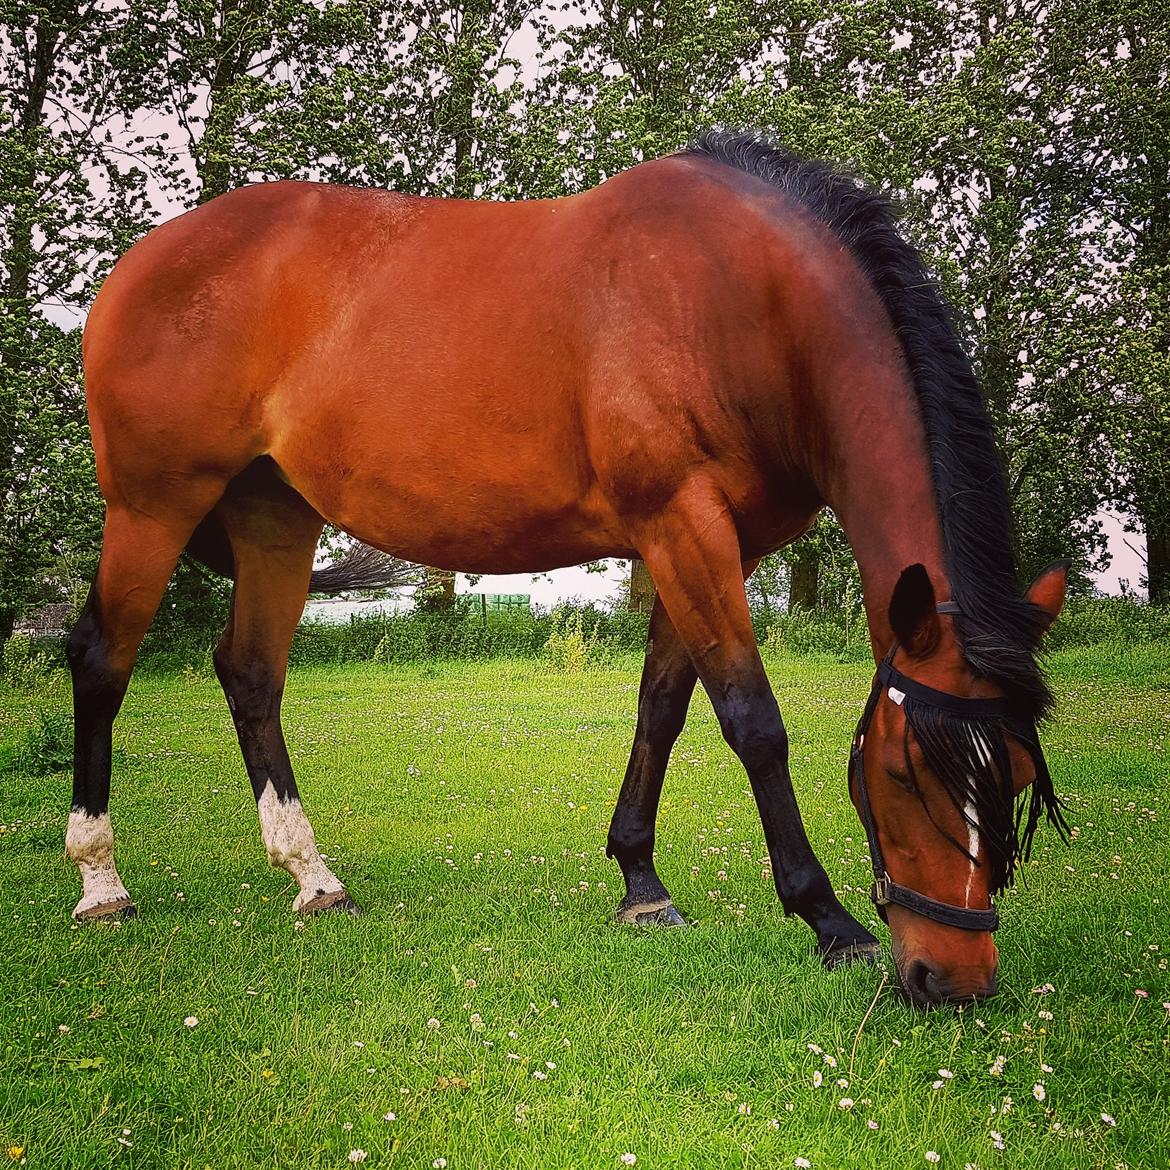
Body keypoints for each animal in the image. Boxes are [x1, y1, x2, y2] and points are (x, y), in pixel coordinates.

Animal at [66, 130, 1071, 1006]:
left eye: (1018, 779)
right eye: (903, 773)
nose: (953, 979)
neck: (743, 301)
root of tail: (142, 262)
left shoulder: (707, 540)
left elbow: (663, 708)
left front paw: (642, 886)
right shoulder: (683, 525)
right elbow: (753, 722)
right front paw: (829, 921)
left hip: (274, 517)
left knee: (251, 675)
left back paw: (314, 878)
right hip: (152, 510)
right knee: (102, 662)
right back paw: (101, 884)